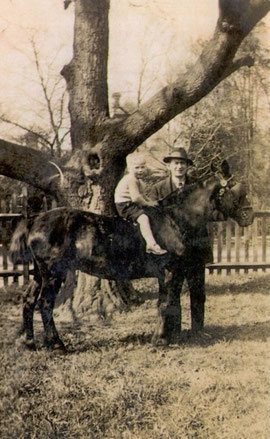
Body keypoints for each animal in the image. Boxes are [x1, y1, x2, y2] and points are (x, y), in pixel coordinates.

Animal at [8, 162, 253, 350]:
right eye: (235, 190)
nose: (248, 215)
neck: (175, 219)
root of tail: (35, 220)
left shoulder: (172, 273)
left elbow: (168, 304)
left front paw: (168, 337)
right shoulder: (171, 271)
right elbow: (167, 304)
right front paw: (160, 340)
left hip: (40, 274)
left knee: (29, 301)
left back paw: (28, 342)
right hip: (53, 274)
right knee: (44, 304)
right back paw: (56, 344)